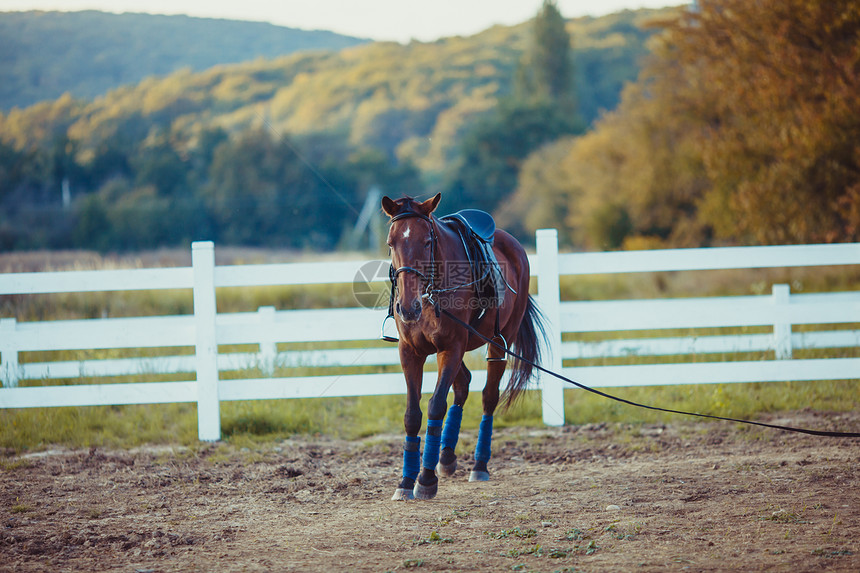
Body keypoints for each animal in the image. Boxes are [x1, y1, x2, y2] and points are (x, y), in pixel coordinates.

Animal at [382, 194, 544, 498]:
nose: (408, 308)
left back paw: (479, 465)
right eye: (391, 242)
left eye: (427, 242)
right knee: (463, 383)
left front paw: (426, 480)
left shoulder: (451, 348)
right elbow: (412, 414)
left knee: (488, 396)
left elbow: (435, 406)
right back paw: (445, 457)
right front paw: (406, 481)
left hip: (498, 343)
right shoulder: (410, 352)